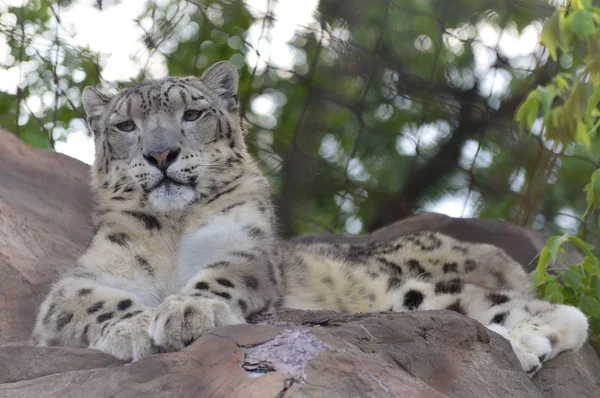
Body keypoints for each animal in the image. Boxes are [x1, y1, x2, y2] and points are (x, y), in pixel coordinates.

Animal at [30, 61, 588, 376]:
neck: (174, 228)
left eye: (192, 113)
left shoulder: (246, 248)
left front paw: (188, 311)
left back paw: (526, 348)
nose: (161, 154)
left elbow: (219, 277)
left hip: (411, 289)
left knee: (541, 313)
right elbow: (93, 302)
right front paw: (135, 326)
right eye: (125, 125)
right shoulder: (82, 280)